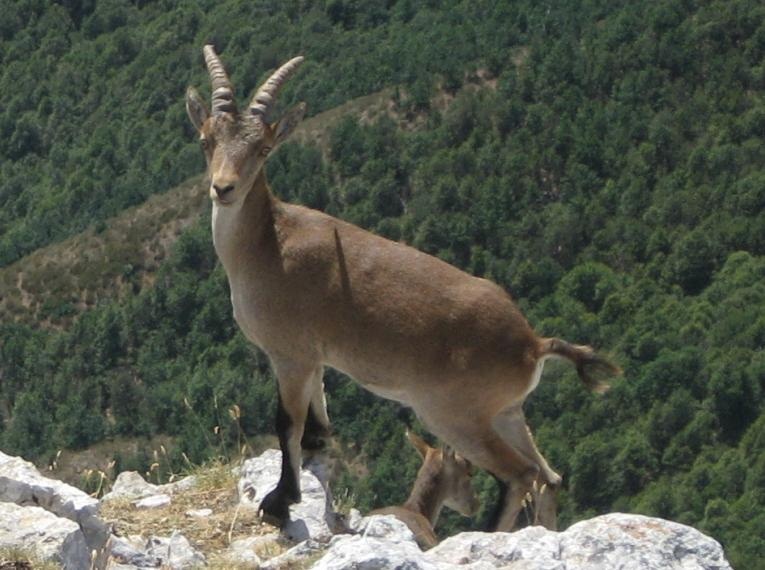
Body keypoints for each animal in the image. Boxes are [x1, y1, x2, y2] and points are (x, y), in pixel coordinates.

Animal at [184, 46, 621, 532]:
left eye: (263, 148)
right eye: (205, 140)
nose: (224, 188)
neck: (268, 244)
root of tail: (531, 344)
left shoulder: (291, 354)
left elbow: (287, 423)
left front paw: (281, 502)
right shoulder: (314, 357)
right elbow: (318, 415)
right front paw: (314, 454)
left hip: (455, 414)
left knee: (520, 475)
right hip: (506, 412)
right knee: (549, 477)